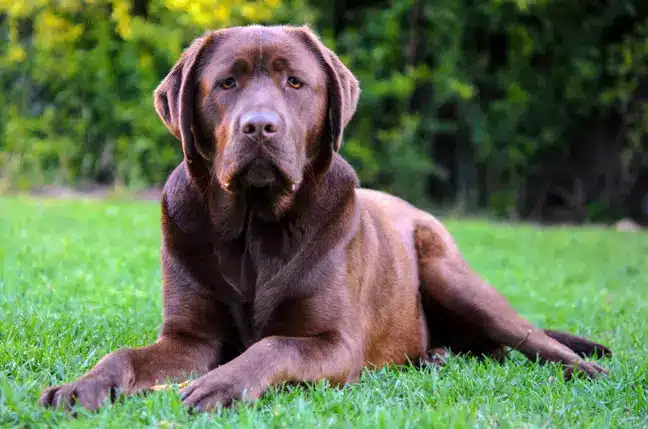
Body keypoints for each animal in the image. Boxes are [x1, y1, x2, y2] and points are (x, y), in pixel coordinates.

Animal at [39, 24, 608, 412]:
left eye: (295, 82)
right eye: (226, 83)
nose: (259, 126)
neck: (254, 227)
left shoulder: (334, 342)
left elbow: (272, 345)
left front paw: (220, 384)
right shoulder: (188, 338)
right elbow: (123, 355)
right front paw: (83, 385)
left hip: (452, 275)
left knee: (530, 340)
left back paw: (589, 369)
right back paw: (435, 357)